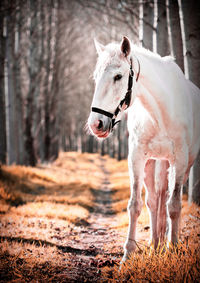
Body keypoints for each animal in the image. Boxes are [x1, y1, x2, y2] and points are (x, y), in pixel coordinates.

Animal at [87, 36, 200, 262]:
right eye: (96, 77)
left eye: (118, 76)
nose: (96, 124)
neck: (160, 111)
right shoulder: (137, 158)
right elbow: (135, 205)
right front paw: (128, 254)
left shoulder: (180, 160)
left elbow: (174, 206)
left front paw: (173, 249)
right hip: (153, 163)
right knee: (154, 201)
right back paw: (154, 244)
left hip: (179, 164)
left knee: (167, 201)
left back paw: (165, 243)